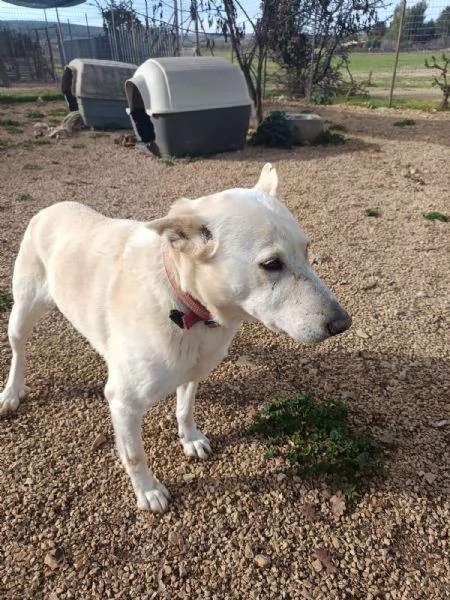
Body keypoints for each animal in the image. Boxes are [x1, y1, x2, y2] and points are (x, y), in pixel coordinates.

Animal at [0, 164, 352, 510]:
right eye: (271, 264)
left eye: (307, 250)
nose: (343, 323)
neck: (185, 304)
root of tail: (53, 207)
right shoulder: (123, 402)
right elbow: (134, 455)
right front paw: (148, 492)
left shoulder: (192, 371)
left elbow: (185, 408)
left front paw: (190, 439)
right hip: (22, 313)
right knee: (19, 352)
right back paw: (11, 393)